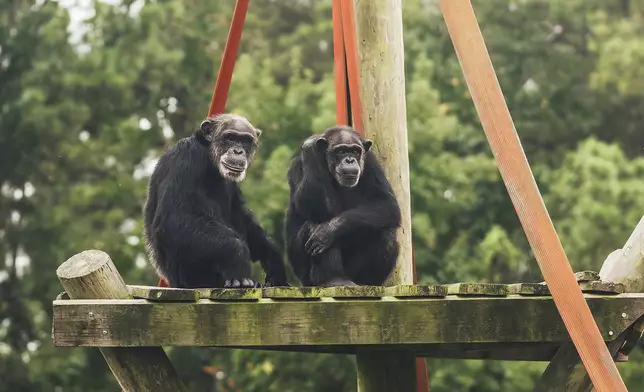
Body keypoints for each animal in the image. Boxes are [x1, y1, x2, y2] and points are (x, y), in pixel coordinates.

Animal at [146, 112, 290, 288]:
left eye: (245, 140)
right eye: (230, 137)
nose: (238, 151)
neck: (209, 157)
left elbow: (240, 213)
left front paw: (272, 256)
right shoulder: (184, 158)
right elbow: (174, 219)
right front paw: (239, 259)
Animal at [286, 127, 400, 286]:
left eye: (355, 151)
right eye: (340, 151)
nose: (350, 159)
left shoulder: (371, 163)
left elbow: (387, 203)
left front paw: (328, 230)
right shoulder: (299, 166)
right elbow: (314, 207)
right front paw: (309, 146)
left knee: (386, 232)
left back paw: (365, 282)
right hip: (304, 277)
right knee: (313, 224)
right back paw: (333, 279)